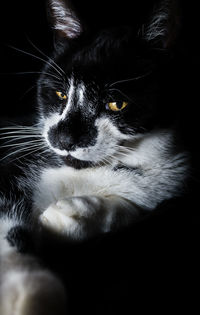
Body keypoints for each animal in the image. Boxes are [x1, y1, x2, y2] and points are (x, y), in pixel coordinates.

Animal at [0, 0, 189, 315]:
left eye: (116, 103)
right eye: (60, 95)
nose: (63, 139)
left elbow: (139, 207)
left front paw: (69, 215)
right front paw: (30, 291)